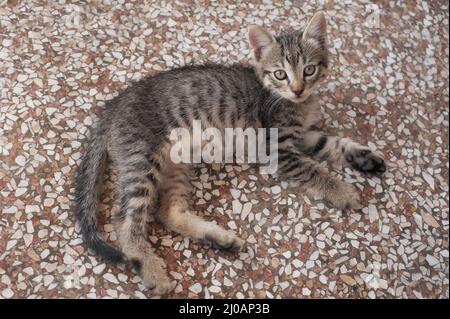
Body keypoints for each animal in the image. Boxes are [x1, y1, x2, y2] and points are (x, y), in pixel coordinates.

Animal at [74, 12, 384, 298]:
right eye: (280, 74)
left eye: (309, 70)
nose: (298, 89)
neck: (295, 103)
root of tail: (113, 106)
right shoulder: (277, 149)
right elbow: (315, 170)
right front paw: (343, 191)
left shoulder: (303, 137)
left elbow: (331, 143)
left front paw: (363, 157)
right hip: (143, 158)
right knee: (126, 220)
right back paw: (150, 268)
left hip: (177, 164)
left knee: (168, 211)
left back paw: (219, 239)